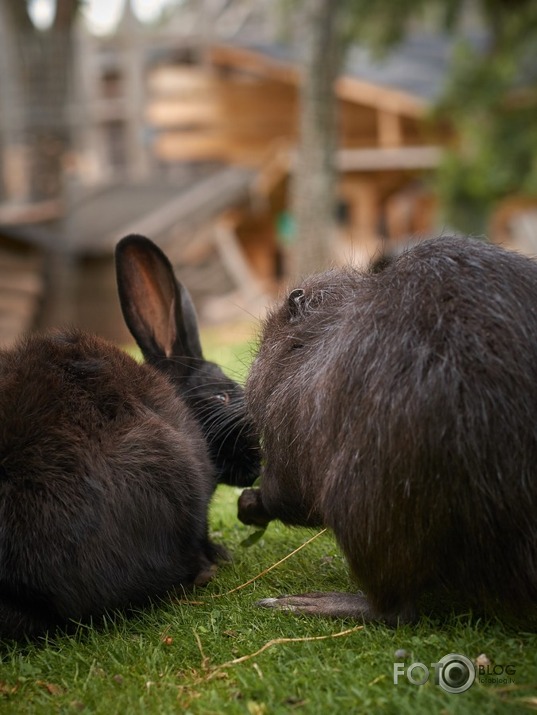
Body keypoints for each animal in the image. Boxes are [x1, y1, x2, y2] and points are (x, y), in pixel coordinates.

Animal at [239, 236, 536, 628]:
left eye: (272, 344)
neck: (324, 337)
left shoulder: (290, 407)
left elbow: (294, 489)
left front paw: (251, 502)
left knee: (397, 609)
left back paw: (311, 603)